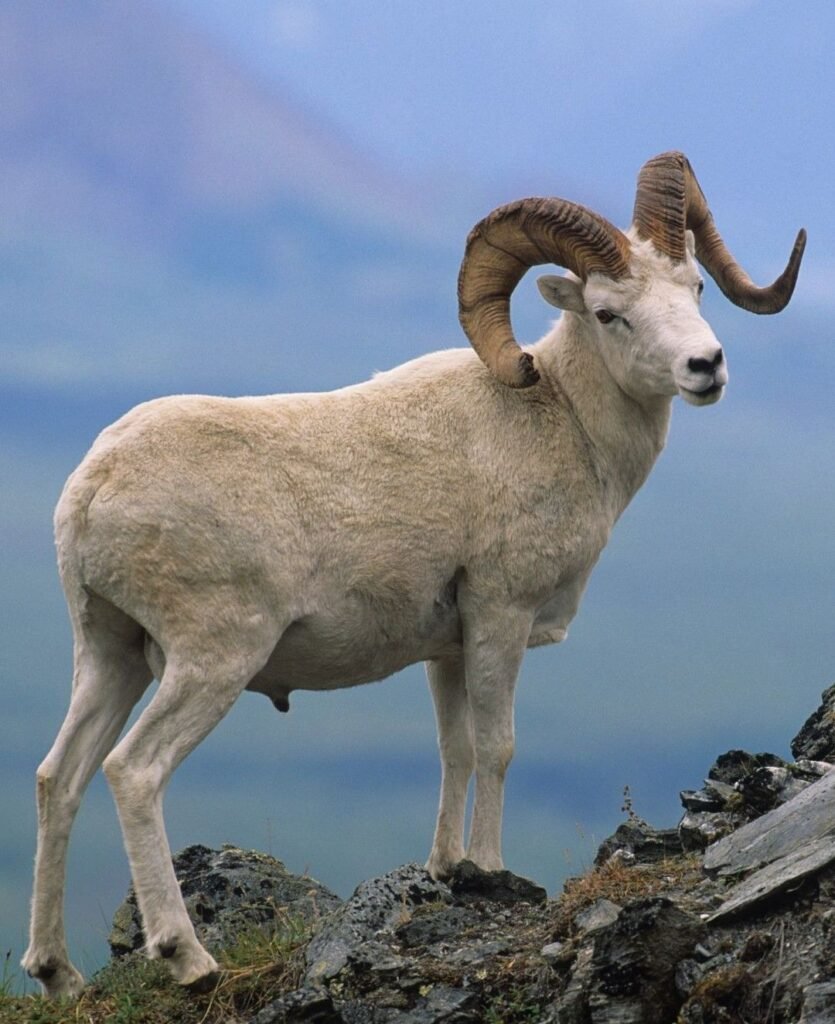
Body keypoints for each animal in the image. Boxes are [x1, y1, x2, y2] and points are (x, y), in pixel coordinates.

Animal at [24, 151, 805, 998]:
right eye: (608, 314)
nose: (705, 367)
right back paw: (187, 959)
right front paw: (491, 871)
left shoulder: (446, 647)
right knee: (133, 771)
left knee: (58, 777)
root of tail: (92, 489)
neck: (560, 420)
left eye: (693, 288)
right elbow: (496, 746)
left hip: (111, 656)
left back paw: (57, 973)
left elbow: (454, 750)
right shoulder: (500, 615)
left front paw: (446, 868)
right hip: (211, 661)